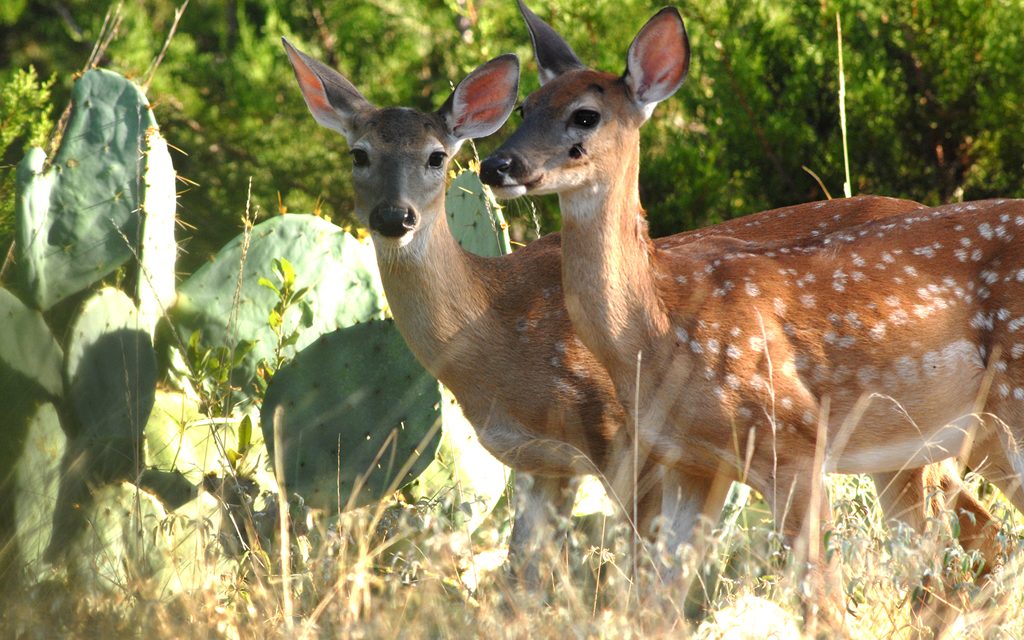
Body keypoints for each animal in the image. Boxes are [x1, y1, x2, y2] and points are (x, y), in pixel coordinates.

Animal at [483, 0, 1019, 622]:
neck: (662, 327)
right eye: (525, 106)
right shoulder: (690, 462)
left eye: (585, 116)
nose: (497, 165)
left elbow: (825, 604)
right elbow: (657, 605)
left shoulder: (791, 438)